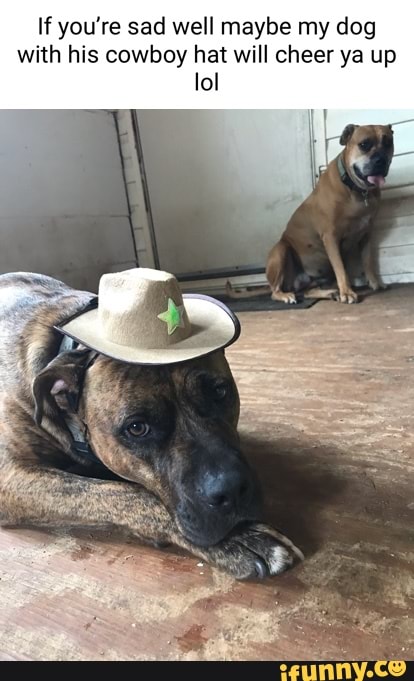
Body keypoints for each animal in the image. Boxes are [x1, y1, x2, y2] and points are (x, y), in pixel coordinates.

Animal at [0, 270, 304, 580]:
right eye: (137, 428)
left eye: (219, 392)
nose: (231, 490)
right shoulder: (11, 476)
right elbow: (125, 494)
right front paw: (242, 539)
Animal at [230, 123, 394, 304]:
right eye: (364, 144)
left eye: (388, 142)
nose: (381, 160)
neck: (356, 190)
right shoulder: (330, 237)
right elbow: (341, 269)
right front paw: (347, 292)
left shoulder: (365, 235)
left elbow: (367, 261)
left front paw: (375, 283)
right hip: (281, 250)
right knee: (275, 291)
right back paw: (287, 295)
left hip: (314, 279)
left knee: (307, 291)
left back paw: (329, 293)